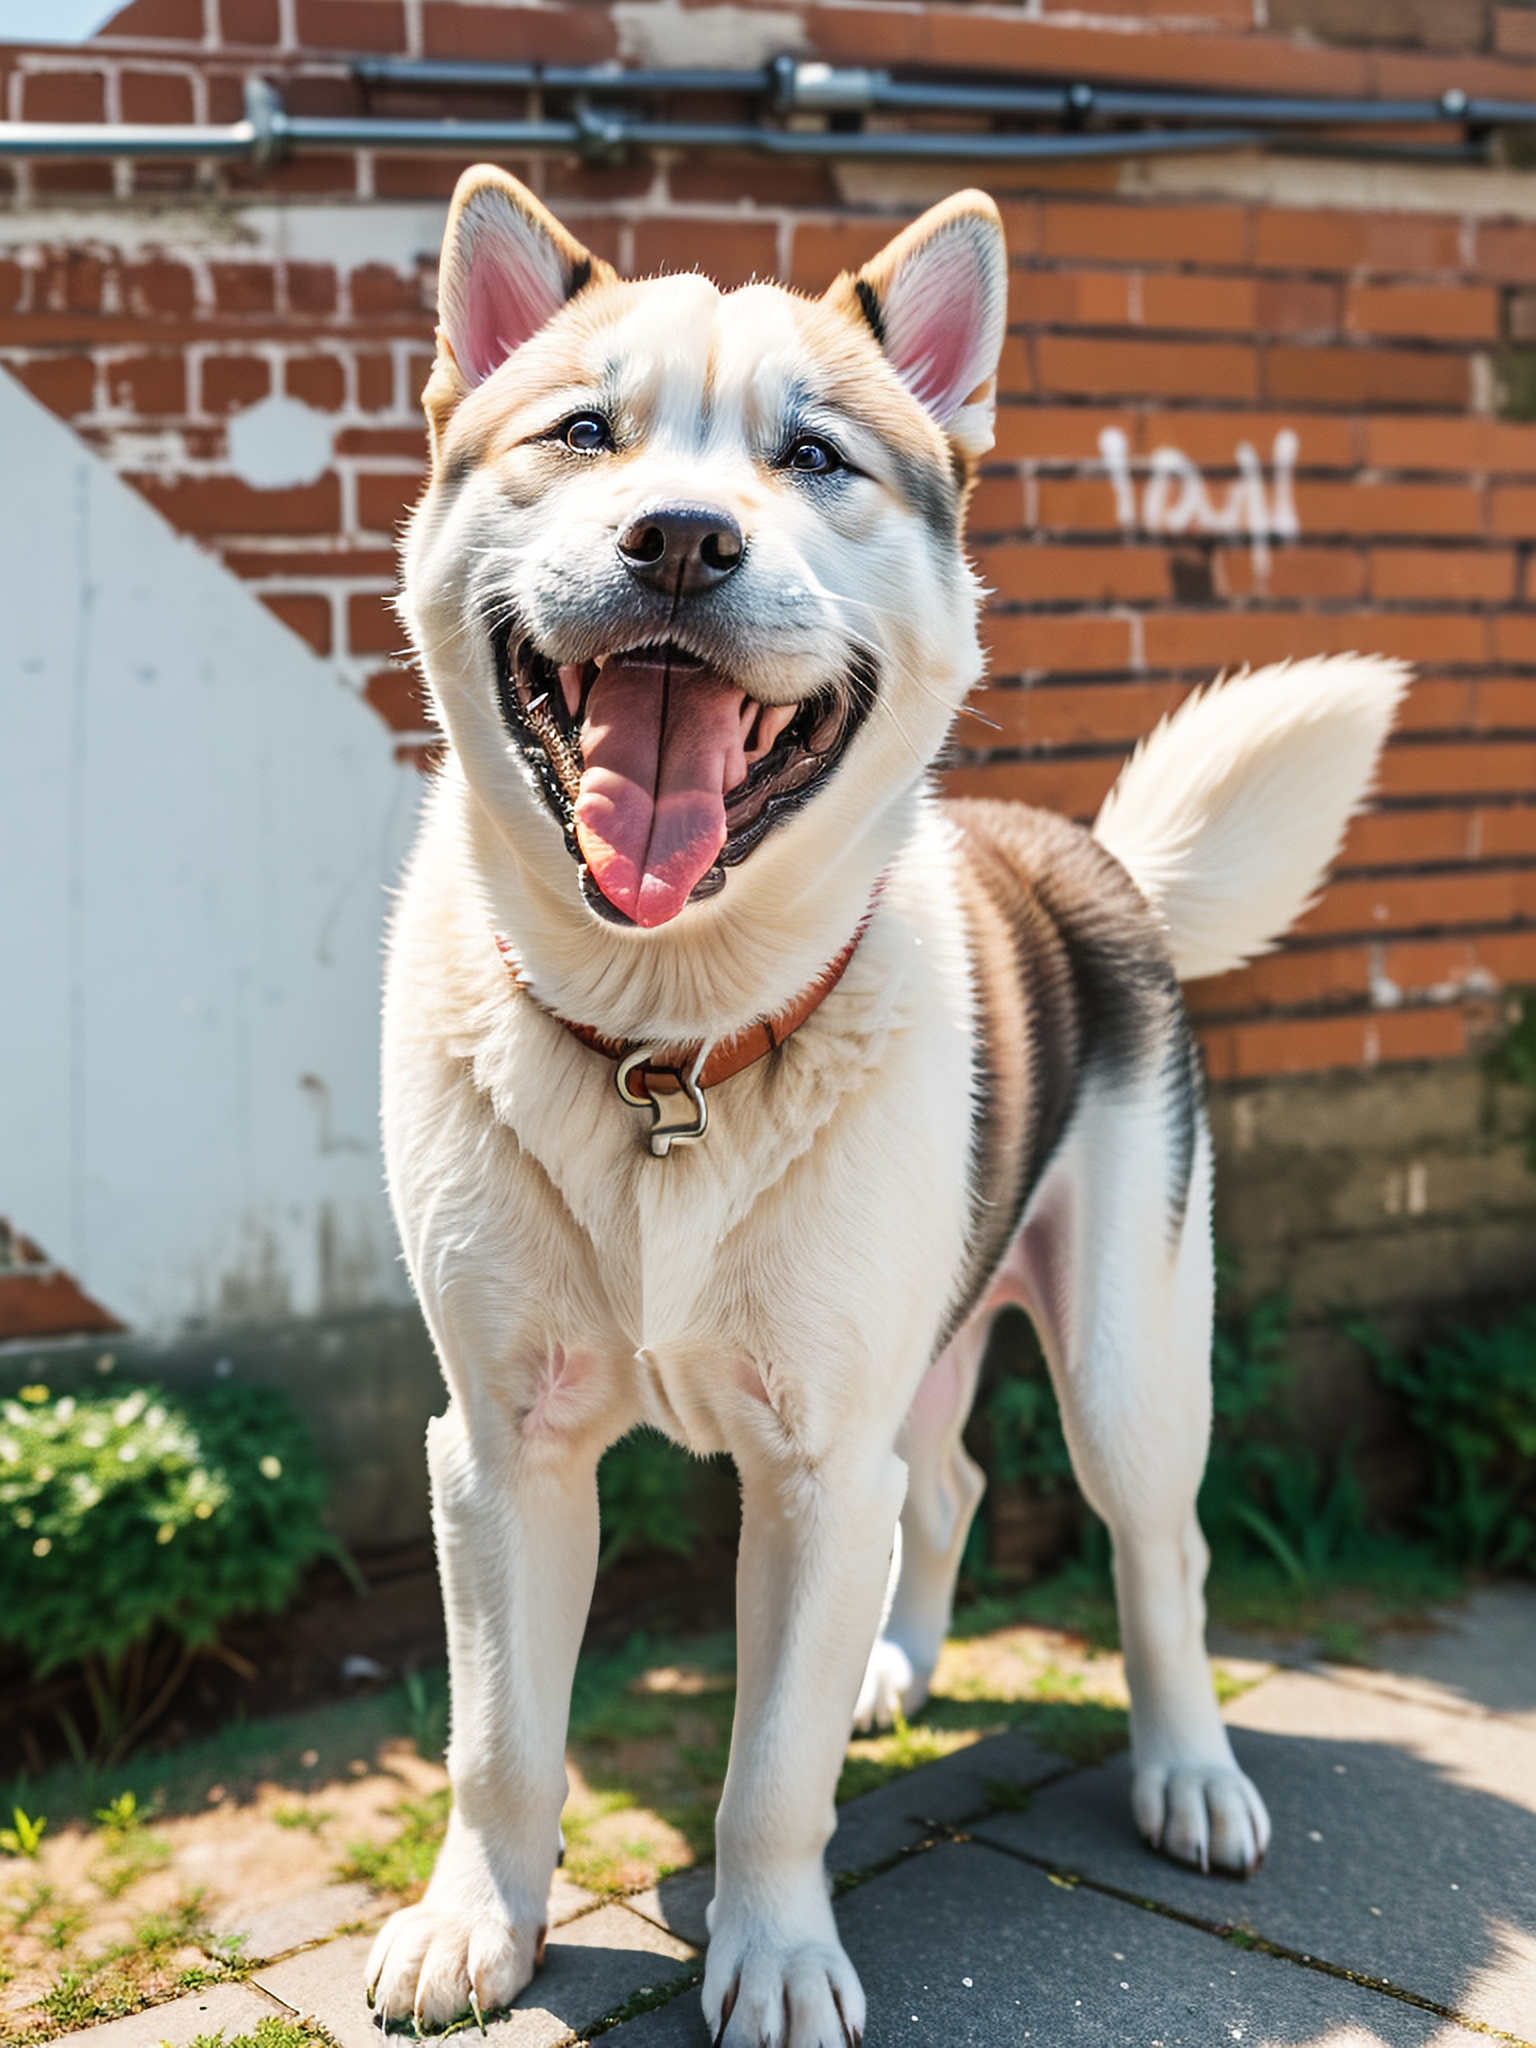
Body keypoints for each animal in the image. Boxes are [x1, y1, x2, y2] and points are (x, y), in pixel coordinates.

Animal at [370, 163, 1409, 2048]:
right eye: (582, 432)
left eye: (814, 457)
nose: (681, 539)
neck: (670, 1040)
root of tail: (1103, 864)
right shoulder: (500, 1448)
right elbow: (500, 1745)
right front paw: (478, 1923)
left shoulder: (811, 1457)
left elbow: (768, 1775)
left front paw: (776, 1954)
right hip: (926, 1339)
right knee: (954, 1490)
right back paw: (897, 1662)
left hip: (1130, 1360)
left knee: (1159, 1558)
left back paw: (1191, 1775)